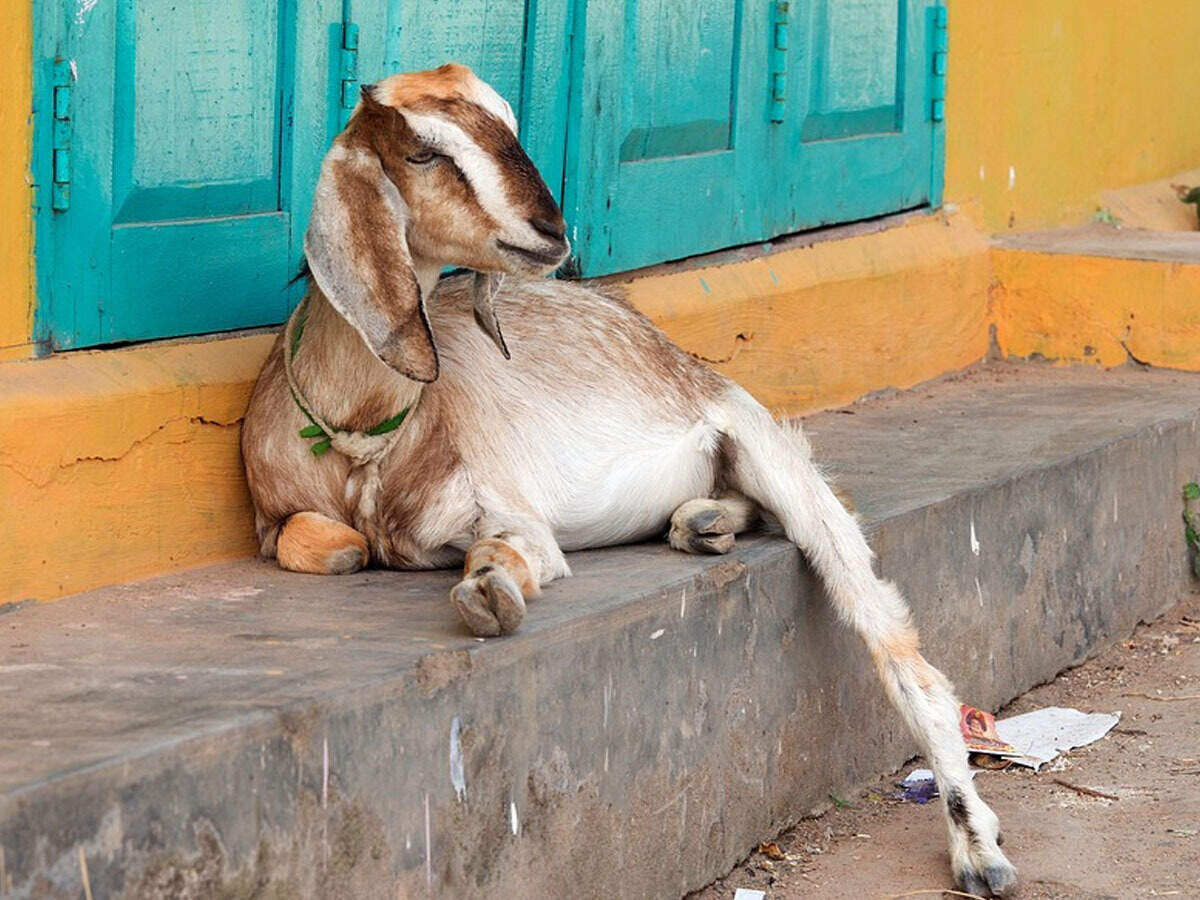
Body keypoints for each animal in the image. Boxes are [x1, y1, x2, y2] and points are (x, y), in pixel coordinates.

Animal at [241, 64, 1017, 896]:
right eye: (423, 150)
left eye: (505, 118)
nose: (552, 230)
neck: (358, 435)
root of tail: (665, 344)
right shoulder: (274, 515)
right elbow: (314, 542)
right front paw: (358, 549)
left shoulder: (505, 507)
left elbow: (510, 550)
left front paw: (490, 593)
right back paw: (702, 524)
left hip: (767, 446)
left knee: (902, 652)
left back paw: (978, 849)